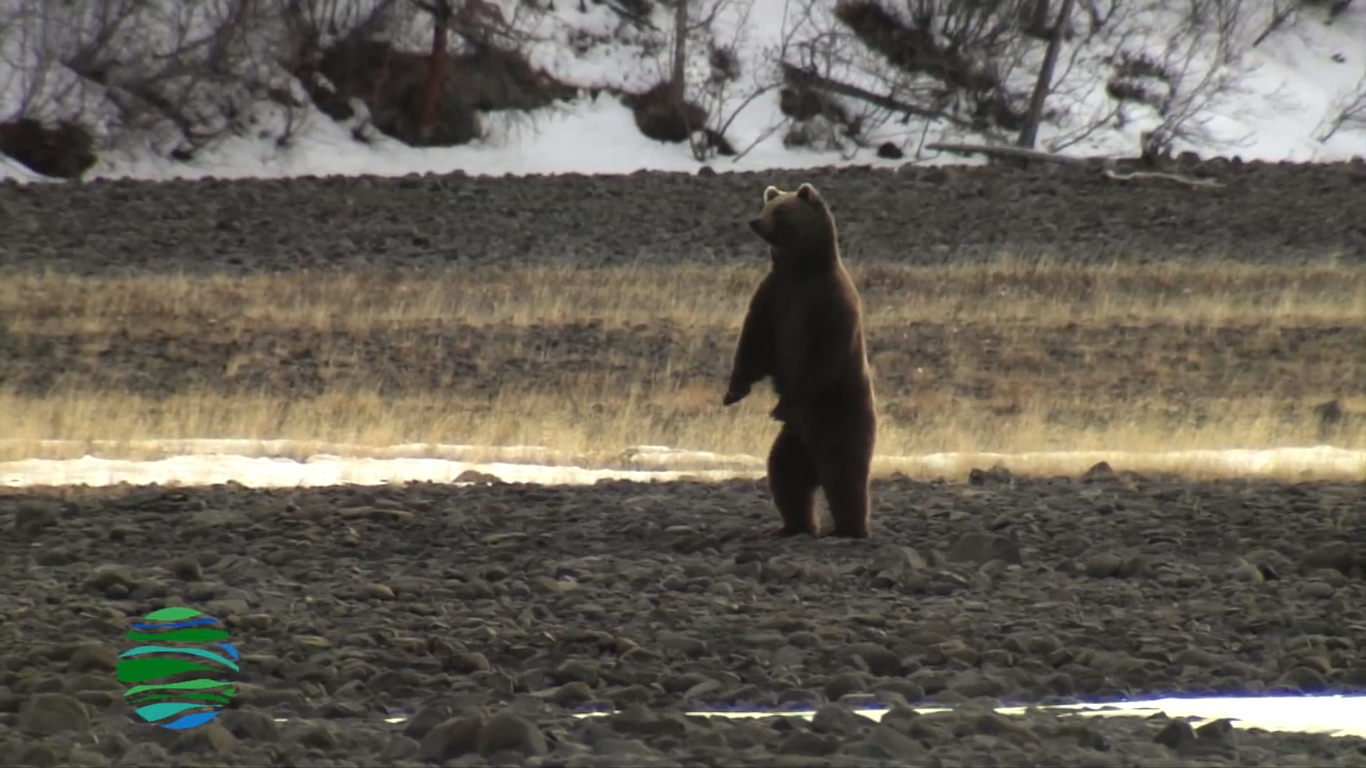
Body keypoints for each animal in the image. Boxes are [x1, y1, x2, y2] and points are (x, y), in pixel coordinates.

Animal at [721, 181, 879, 535]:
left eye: (780, 210)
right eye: (766, 206)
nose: (755, 221)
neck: (800, 269)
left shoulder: (827, 304)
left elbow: (820, 358)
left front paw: (780, 405)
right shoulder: (773, 298)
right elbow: (753, 343)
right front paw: (733, 391)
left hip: (840, 416)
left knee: (843, 474)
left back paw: (850, 528)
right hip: (794, 441)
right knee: (786, 474)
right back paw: (794, 525)